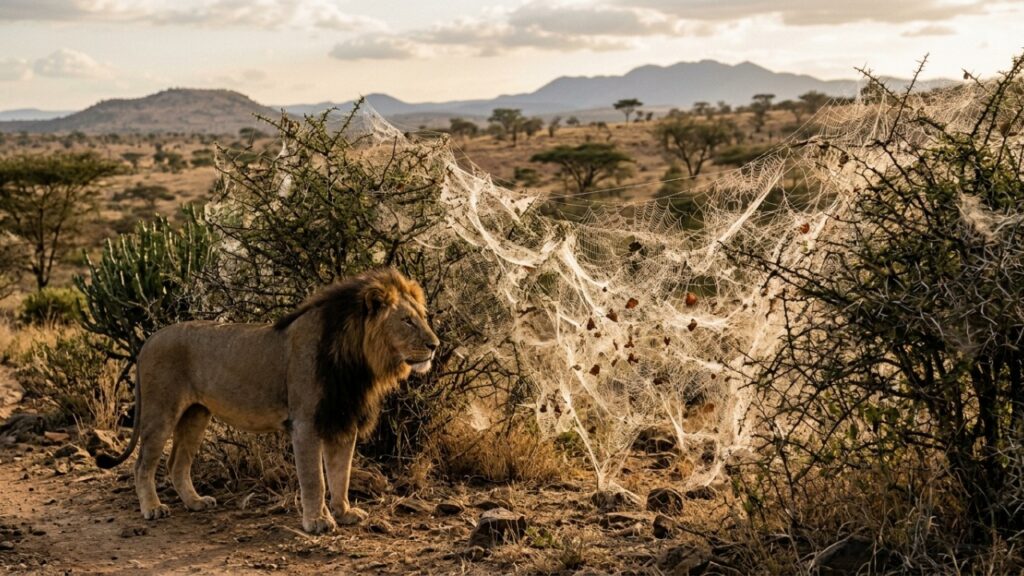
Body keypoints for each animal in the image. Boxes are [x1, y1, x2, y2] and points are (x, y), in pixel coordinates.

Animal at [96, 267, 440, 534]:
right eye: (407, 321)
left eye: (422, 317)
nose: (435, 345)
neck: (358, 360)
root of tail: (149, 340)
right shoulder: (305, 423)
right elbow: (315, 479)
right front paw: (317, 522)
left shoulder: (341, 419)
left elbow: (341, 473)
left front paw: (344, 513)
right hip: (161, 412)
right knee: (142, 463)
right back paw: (153, 509)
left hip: (196, 414)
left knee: (176, 463)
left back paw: (195, 502)